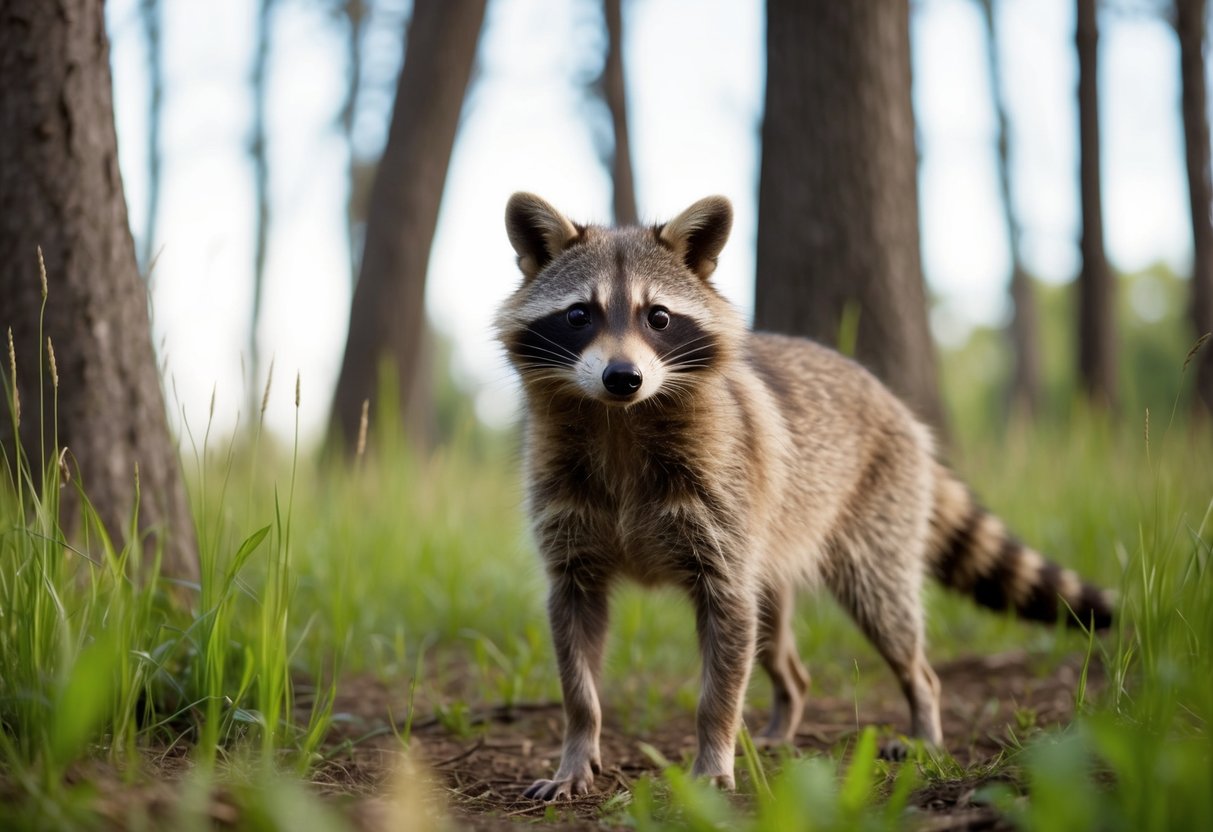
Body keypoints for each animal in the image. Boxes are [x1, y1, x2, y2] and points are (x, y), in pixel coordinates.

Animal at [495, 193, 1114, 801]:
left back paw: (923, 714)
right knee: (774, 647)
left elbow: (723, 668)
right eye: (579, 314)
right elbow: (576, 659)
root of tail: (897, 405)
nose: (623, 377)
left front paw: (714, 749)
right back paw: (784, 715)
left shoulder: (721, 513)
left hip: (873, 514)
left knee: (889, 618)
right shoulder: (569, 529)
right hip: (770, 551)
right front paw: (578, 746)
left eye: (659, 317)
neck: (619, 422)